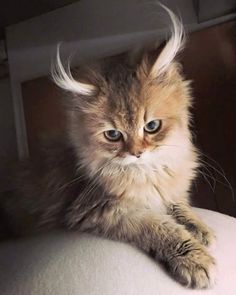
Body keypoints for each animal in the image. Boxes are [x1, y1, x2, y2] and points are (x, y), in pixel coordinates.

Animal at [0, 5, 217, 290]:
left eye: (152, 126)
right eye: (113, 135)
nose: (137, 153)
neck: (147, 173)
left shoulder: (167, 190)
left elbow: (179, 206)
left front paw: (199, 228)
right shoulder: (102, 211)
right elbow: (160, 227)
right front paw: (194, 258)